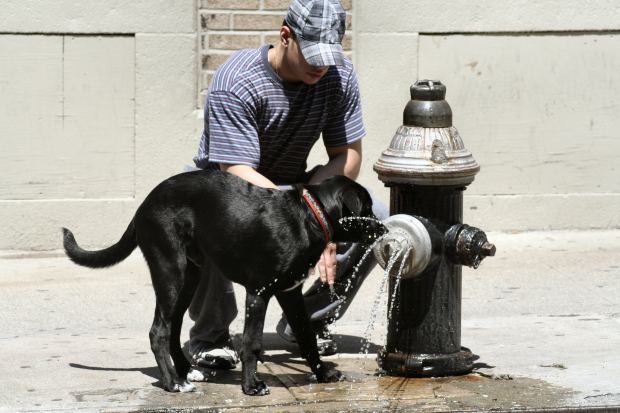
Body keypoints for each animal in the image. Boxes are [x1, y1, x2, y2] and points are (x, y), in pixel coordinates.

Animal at [61, 170, 382, 396]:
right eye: (366, 209)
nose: (383, 228)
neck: (309, 218)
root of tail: (144, 204)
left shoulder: (290, 293)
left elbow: (306, 337)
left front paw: (323, 374)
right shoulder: (258, 293)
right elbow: (252, 342)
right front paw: (252, 386)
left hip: (189, 277)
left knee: (173, 327)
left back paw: (186, 372)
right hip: (170, 270)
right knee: (158, 331)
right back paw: (173, 383)